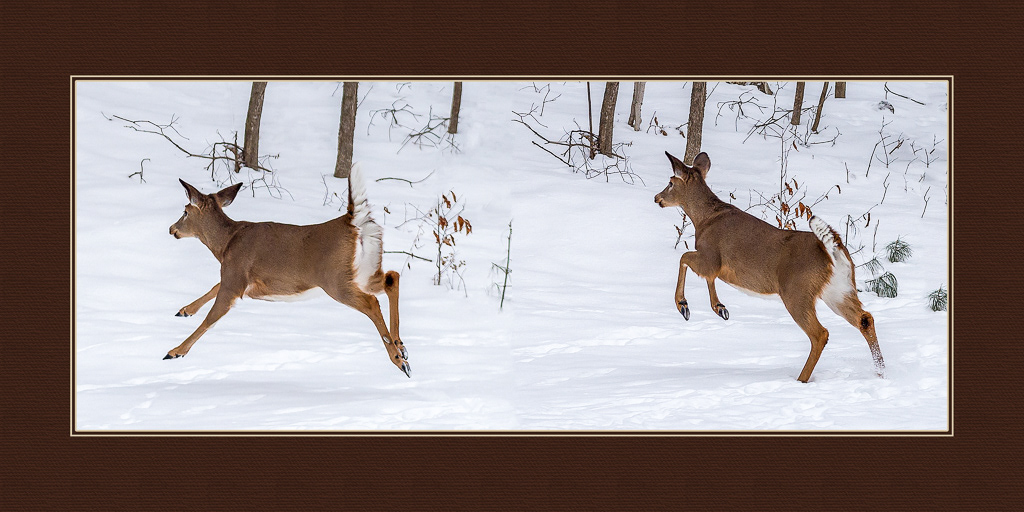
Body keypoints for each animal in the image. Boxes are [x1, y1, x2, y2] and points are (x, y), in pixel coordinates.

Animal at [166, 166, 410, 377]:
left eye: (185, 211)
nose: (171, 229)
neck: (226, 244)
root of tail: (352, 220)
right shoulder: (240, 280)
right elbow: (214, 287)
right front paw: (185, 310)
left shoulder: (234, 276)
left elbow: (211, 318)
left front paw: (175, 351)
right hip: (366, 270)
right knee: (392, 277)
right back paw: (401, 346)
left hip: (336, 280)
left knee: (372, 302)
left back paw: (399, 360)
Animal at [654, 151, 884, 382]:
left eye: (670, 182)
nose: (657, 198)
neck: (704, 219)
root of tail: (833, 249)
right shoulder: (713, 264)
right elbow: (705, 276)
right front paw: (720, 307)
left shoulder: (711, 257)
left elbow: (684, 258)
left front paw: (684, 305)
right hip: (838, 289)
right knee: (865, 318)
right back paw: (880, 372)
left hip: (796, 291)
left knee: (820, 333)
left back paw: (801, 379)